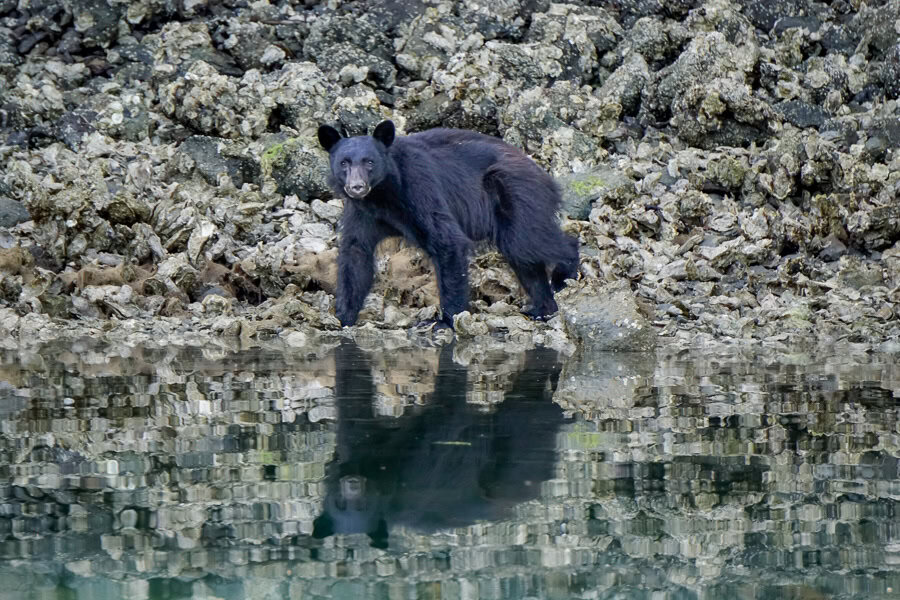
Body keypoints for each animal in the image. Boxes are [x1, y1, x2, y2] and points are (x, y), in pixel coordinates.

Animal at [317, 120, 579, 328]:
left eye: (369, 162)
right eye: (344, 163)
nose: (357, 187)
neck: (382, 195)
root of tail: (544, 174)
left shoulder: (419, 189)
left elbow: (447, 241)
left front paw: (446, 320)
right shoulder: (363, 213)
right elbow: (356, 255)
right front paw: (342, 316)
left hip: (516, 192)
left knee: (528, 242)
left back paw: (565, 273)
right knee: (524, 258)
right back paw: (542, 309)